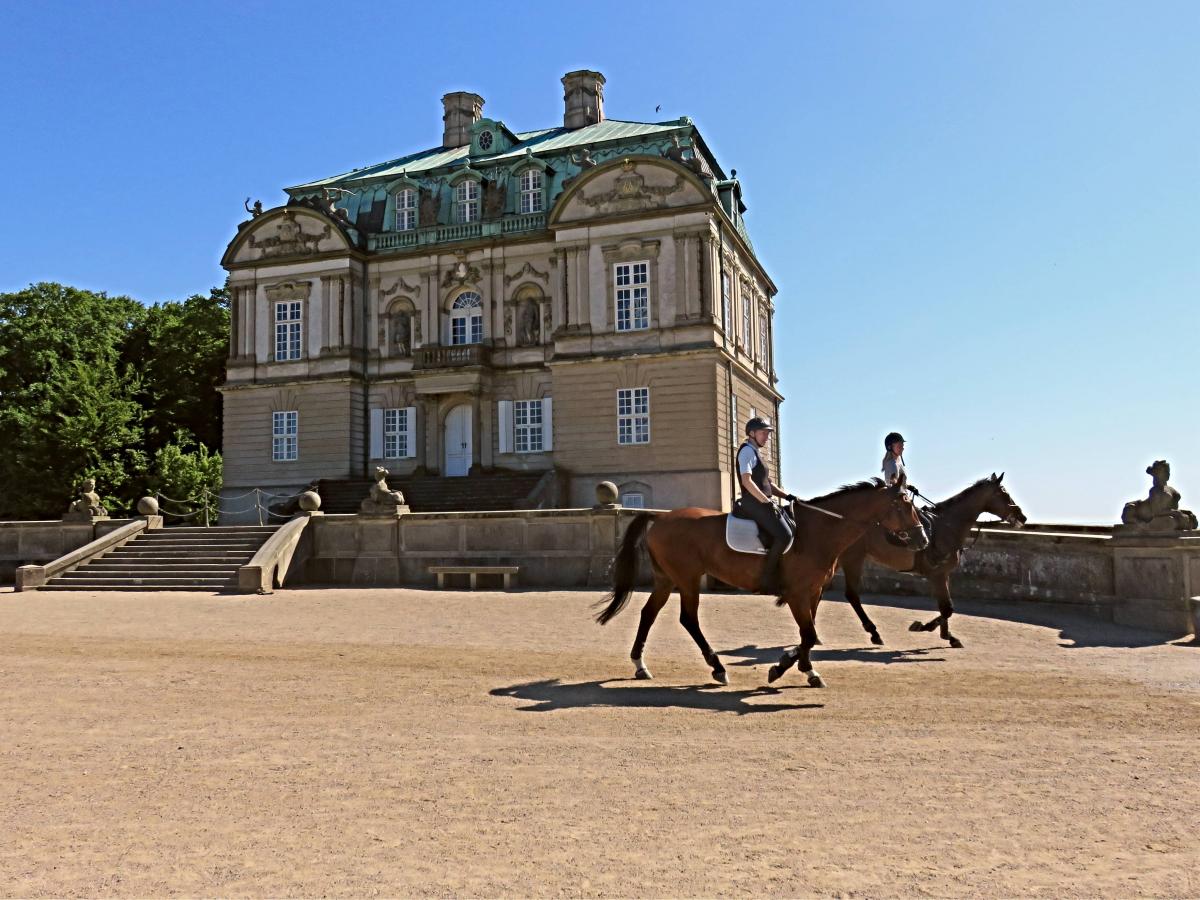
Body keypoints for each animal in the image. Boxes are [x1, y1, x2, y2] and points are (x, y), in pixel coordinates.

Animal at [592, 482, 926, 686]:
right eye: (902, 507)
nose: (922, 539)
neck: (818, 531)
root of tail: (659, 519)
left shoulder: (814, 592)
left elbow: (808, 634)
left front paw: (803, 667)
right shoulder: (796, 593)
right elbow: (809, 634)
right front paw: (783, 667)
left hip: (667, 579)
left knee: (649, 614)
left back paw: (640, 664)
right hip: (687, 579)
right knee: (688, 619)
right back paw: (717, 667)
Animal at [835, 472, 1022, 648]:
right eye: (1004, 493)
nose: (1022, 517)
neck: (948, 526)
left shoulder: (944, 574)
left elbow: (945, 606)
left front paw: (948, 636)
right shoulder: (937, 574)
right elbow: (947, 609)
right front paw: (924, 627)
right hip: (852, 558)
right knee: (851, 594)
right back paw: (874, 632)